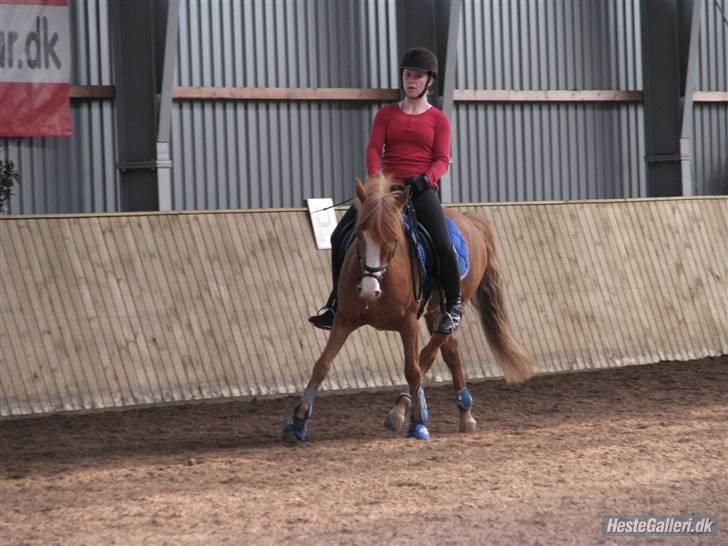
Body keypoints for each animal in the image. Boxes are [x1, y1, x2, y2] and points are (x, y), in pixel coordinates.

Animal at [282, 175, 536, 443]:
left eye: (393, 240)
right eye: (359, 237)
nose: (368, 291)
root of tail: (472, 222)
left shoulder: (408, 324)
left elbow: (413, 369)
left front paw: (418, 423)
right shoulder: (344, 319)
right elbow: (322, 364)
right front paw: (297, 422)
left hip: (453, 303)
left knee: (430, 353)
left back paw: (403, 410)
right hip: (435, 311)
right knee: (450, 350)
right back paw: (464, 413)